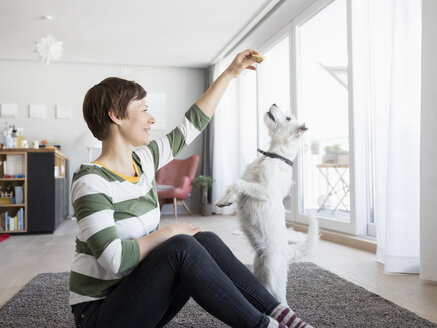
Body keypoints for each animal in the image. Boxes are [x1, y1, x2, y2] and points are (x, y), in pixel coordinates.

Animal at [216, 104, 318, 304]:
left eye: (288, 118)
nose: (274, 103)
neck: (274, 156)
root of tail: (288, 253)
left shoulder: (265, 191)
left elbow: (238, 184)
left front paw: (227, 199)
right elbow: (235, 184)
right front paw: (224, 199)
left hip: (273, 277)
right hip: (260, 272)